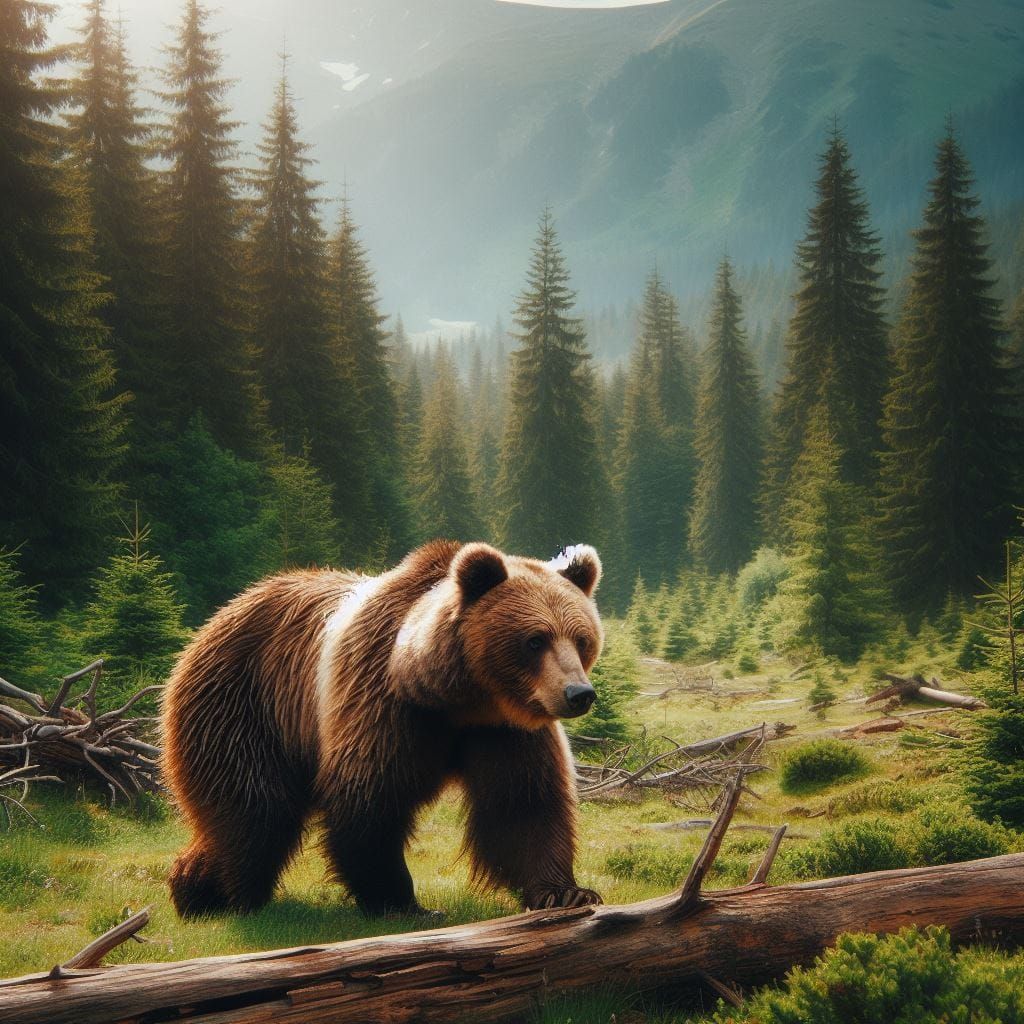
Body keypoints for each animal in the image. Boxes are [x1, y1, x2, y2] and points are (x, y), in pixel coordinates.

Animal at [162, 539, 605, 918]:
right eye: (535, 640)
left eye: (581, 638)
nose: (578, 693)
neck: (456, 697)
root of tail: (220, 615)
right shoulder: (382, 700)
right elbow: (370, 799)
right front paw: (401, 901)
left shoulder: (504, 728)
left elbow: (523, 804)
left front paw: (566, 892)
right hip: (244, 703)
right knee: (256, 808)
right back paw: (229, 894)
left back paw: (194, 887)